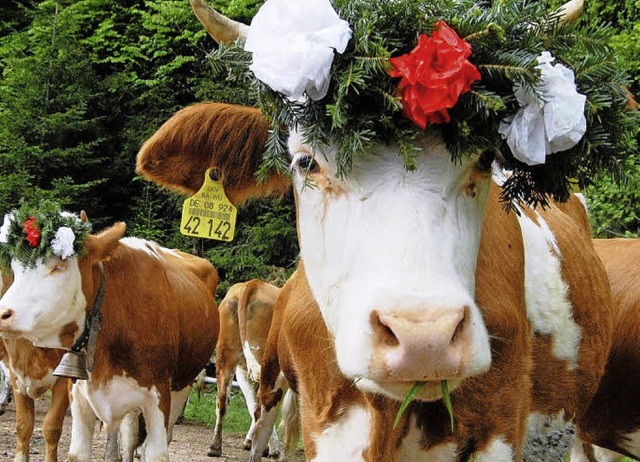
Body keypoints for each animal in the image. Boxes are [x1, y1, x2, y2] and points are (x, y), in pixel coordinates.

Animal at [0, 217, 220, 462]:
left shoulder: (158, 399)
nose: (3, 314)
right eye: (15, 268)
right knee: (129, 438)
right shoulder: (77, 396)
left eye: (58, 266)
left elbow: (155, 452)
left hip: (181, 387)